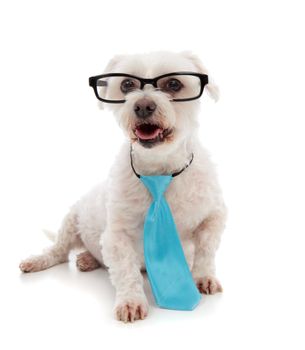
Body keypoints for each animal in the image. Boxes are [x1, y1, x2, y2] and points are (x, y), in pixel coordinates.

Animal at [19, 51, 226, 322]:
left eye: (174, 84)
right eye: (127, 84)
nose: (143, 106)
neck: (160, 170)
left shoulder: (214, 215)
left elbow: (206, 249)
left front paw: (203, 276)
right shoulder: (117, 235)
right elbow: (126, 269)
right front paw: (131, 300)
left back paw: (88, 259)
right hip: (71, 221)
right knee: (59, 251)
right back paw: (43, 259)